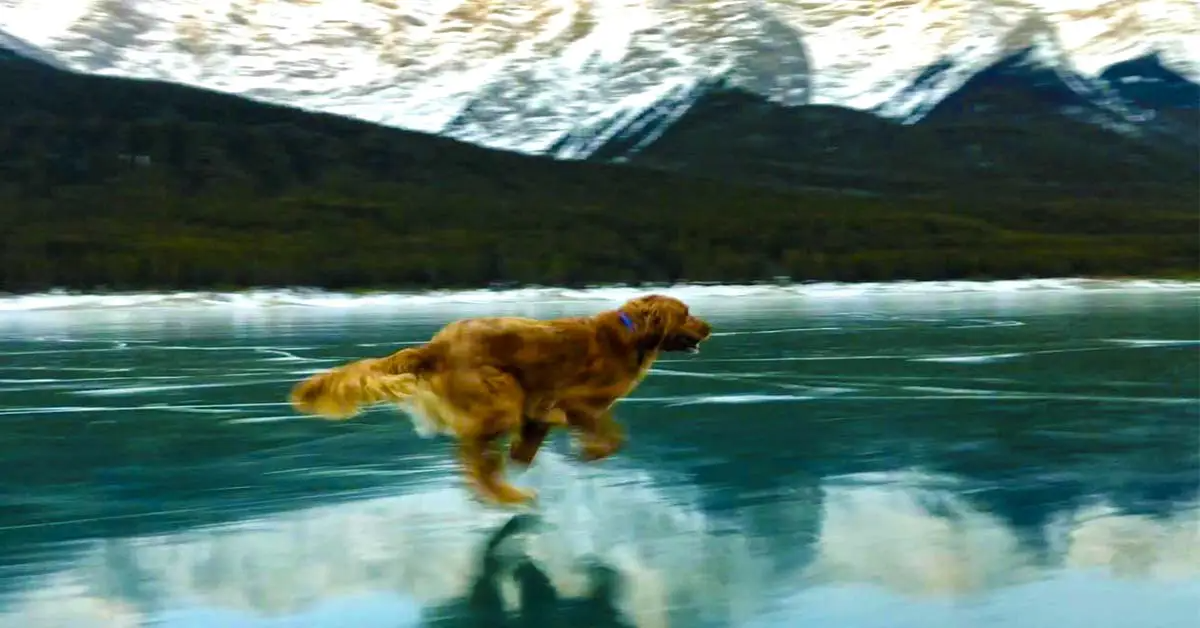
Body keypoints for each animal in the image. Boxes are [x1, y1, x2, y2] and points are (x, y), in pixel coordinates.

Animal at [288, 295, 710, 506]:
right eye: (687, 313)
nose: (709, 327)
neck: (630, 334)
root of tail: (434, 347)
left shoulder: (540, 411)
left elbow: (530, 442)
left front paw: (524, 457)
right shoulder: (576, 403)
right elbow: (610, 438)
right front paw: (589, 453)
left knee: (475, 455)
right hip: (500, 395)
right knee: (472, 457)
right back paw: (506, 495)